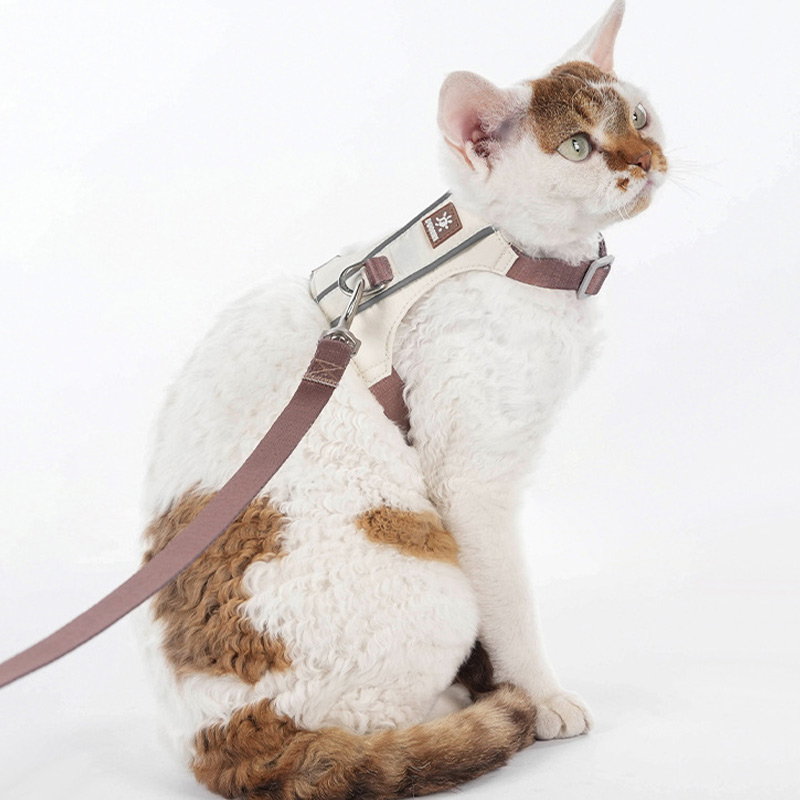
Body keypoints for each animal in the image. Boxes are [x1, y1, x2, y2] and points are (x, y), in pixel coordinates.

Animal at [137, 1, 667, 797]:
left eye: (639, 115)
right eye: (578, 147)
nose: (647, 160)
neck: (509, 255)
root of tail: (222, 738)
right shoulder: (470, 482)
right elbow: (510, 607)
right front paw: (537, 697)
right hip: (429, 579)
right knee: (363, 733)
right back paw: (457, 715)